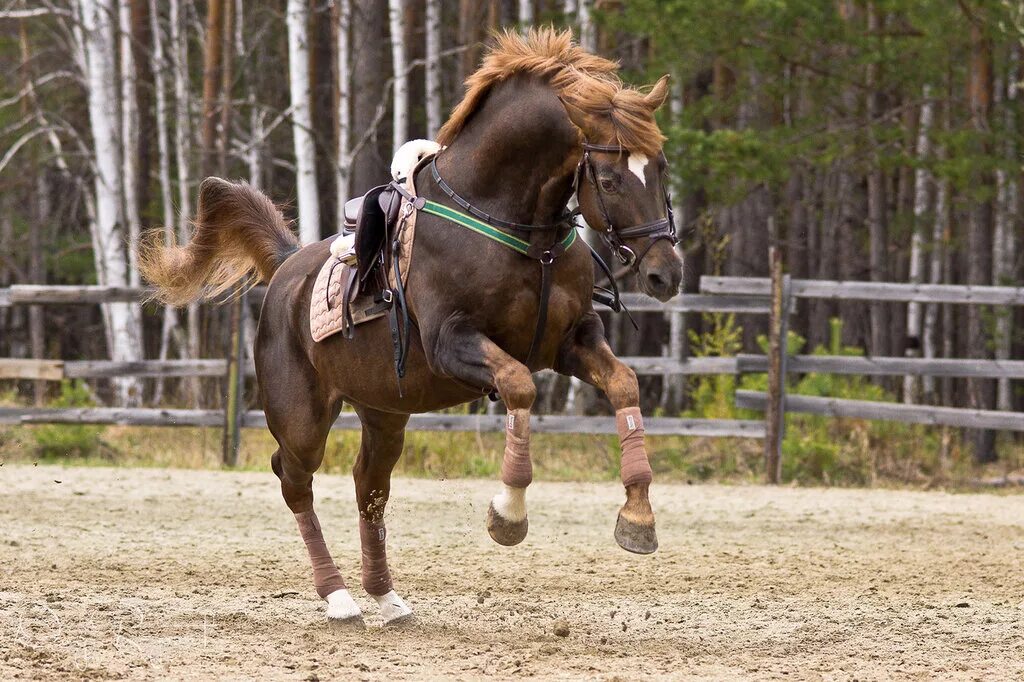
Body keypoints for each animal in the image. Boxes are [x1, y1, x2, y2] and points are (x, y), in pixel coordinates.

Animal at [136, 31, 679, 626]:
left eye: (662, 167)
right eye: (608, 178)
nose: (666, 272)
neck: (515, 228)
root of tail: (286, 268)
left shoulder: (571, 341)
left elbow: (623, 383)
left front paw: (638, 518)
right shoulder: (453, 344)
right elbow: (519, 386)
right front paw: (508, 514)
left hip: (384, 412)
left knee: (368, 486)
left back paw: (385, 596)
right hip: (301, 416)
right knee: (294, 480)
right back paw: (338, 596)